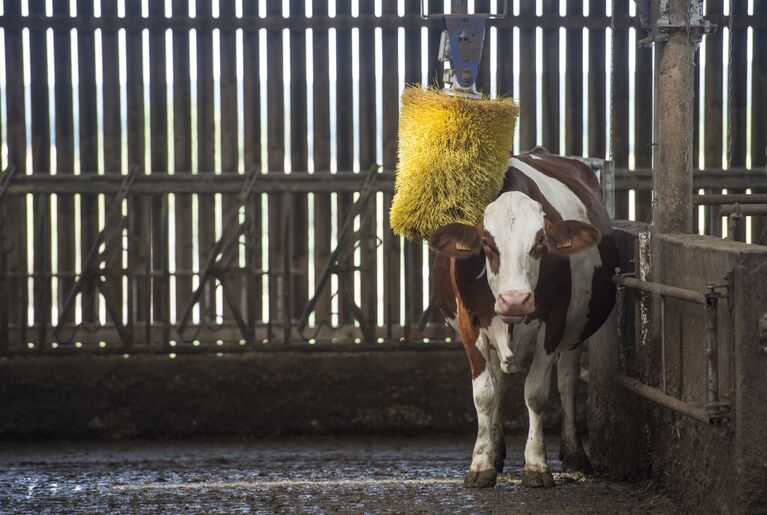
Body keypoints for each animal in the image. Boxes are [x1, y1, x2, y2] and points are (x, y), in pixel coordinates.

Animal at [432, 147, 616, 490]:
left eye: (540, 240)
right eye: (487, 242)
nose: (515, 300)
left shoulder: (554, 323)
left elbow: (536, 393)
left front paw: (536, 465)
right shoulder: (469, 324)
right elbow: (485, 394)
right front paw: (481, 463)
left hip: (575, 334)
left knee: (567, 382)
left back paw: (575, 455)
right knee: (500, 383)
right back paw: (496, 449)